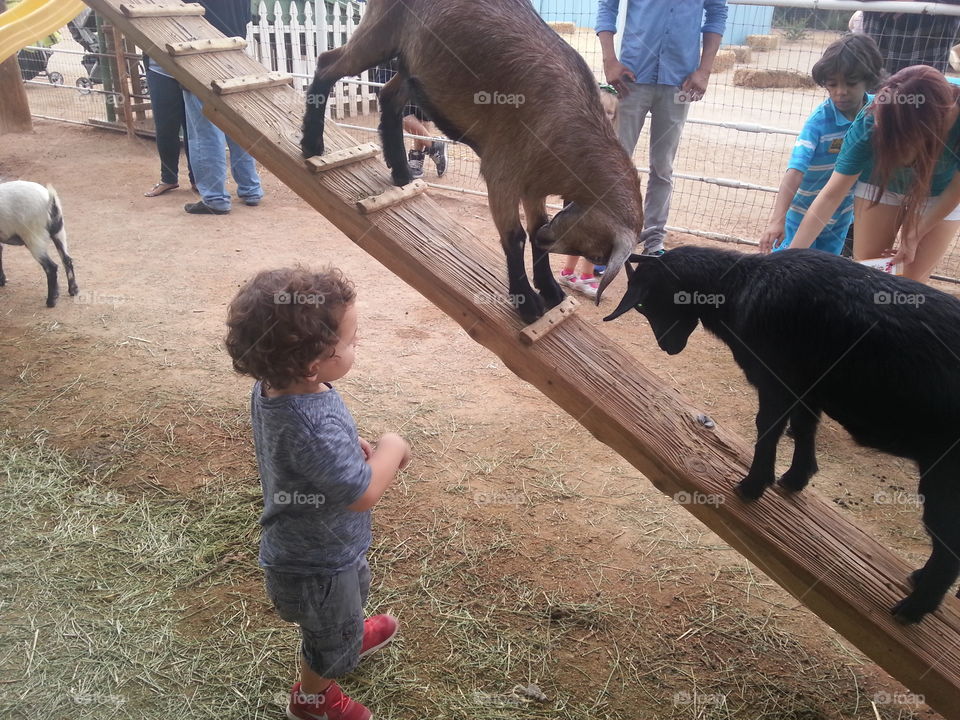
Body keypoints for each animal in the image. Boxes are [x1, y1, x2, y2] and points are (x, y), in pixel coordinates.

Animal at [300, 0, 644, 322]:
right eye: (595, 252)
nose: (549, 240)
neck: (568, 131)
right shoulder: (502, 173)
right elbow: (516, 237)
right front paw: (527, 302)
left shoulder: (533, 186)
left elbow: (535, 227)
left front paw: (550, 290)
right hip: (382, 33)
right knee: (328, 63)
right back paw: (312, 143)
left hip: (413, 66)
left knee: (388, 96)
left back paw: (399, 171)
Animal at [608, 248, 960, 624]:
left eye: (644, 303)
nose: (666, 346)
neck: (739, 286)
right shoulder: (804, 386)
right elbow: (803, 428)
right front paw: (795, 478)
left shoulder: (775, 379)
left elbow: (768, 426)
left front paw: (752, 485)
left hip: (946, 473)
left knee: (948, 546)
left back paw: (914, 608)